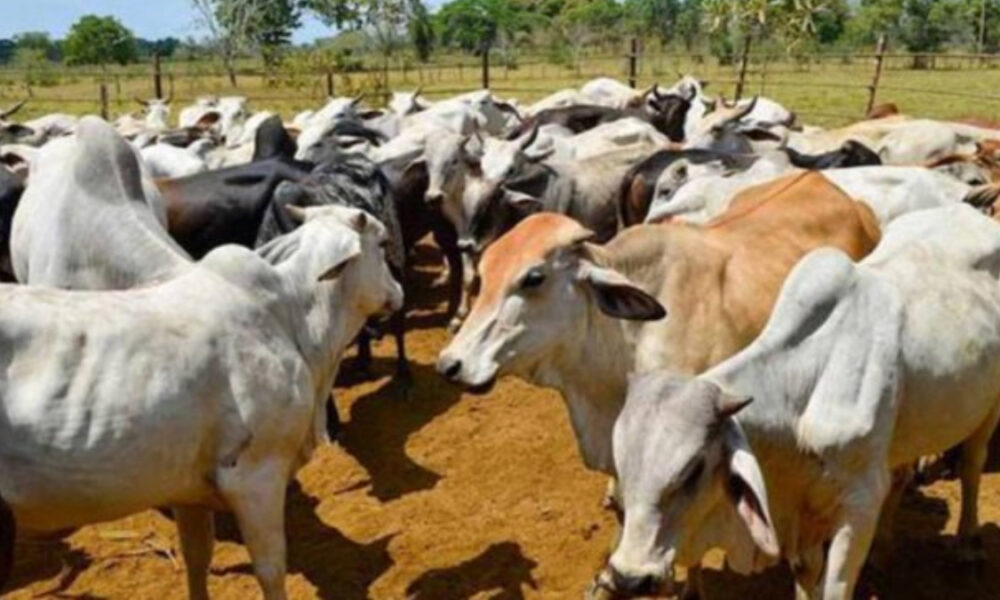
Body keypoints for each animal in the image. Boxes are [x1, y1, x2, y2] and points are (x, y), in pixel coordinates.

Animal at [604, 205, 1000, 600]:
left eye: (693, 470)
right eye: (621, 464)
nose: (628, 577)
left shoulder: (861, 503)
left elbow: (835, 586)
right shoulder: (801, 511)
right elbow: (805, 573)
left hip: (989, 411)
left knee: (971, 466)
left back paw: (967, 543)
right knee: (904, 473)